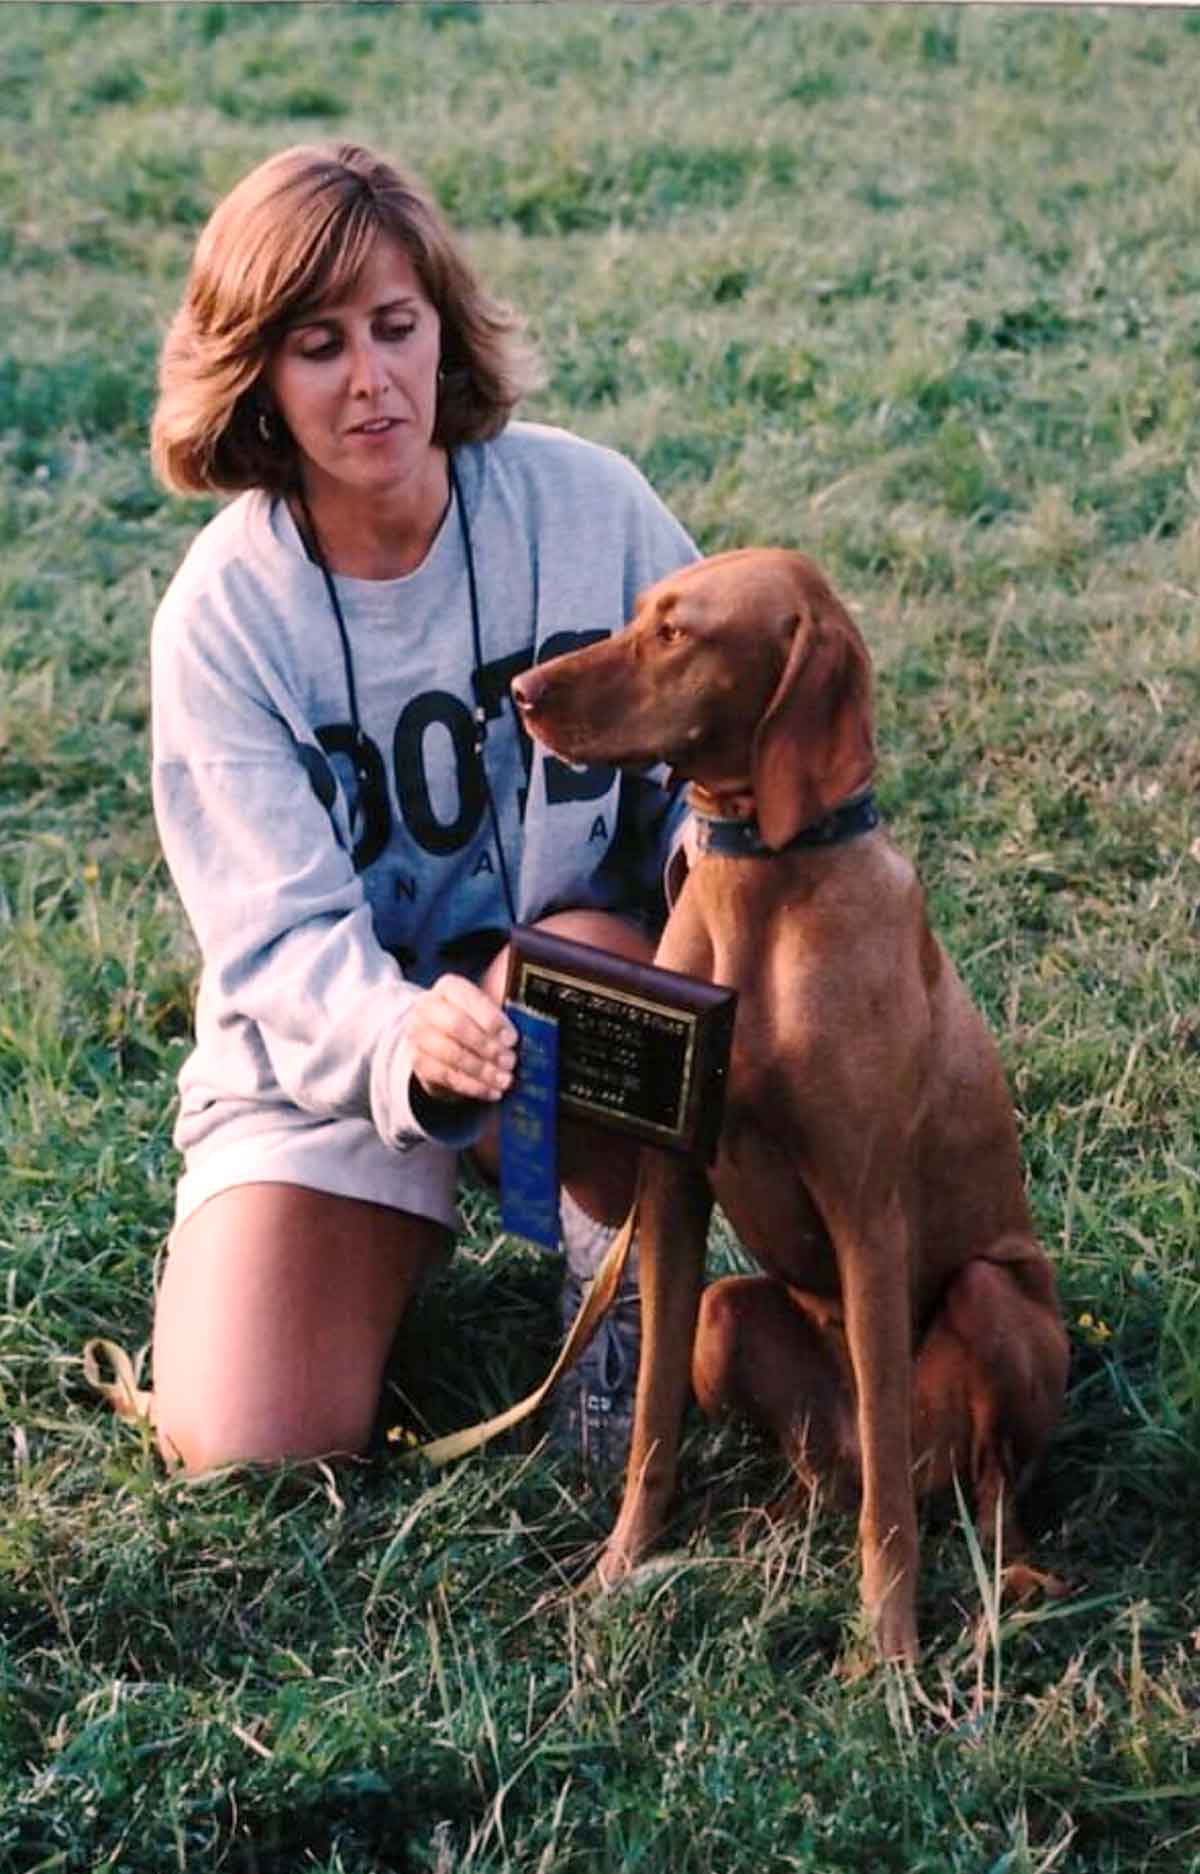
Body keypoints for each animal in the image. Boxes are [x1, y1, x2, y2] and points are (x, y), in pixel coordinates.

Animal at [510, 547, 1072, 1664]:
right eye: (640, 615)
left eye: (677, 632)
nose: (520, 691)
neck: (764, 887)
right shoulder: (675, 1189)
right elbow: (650, 1421)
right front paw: (615, 1571)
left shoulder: (867, 1215)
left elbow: (890, 1511)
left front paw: (890, 1650)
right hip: (730, 1317)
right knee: (839, 1473)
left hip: (992, 1298)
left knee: (960, 1485)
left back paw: (1011, 1575)